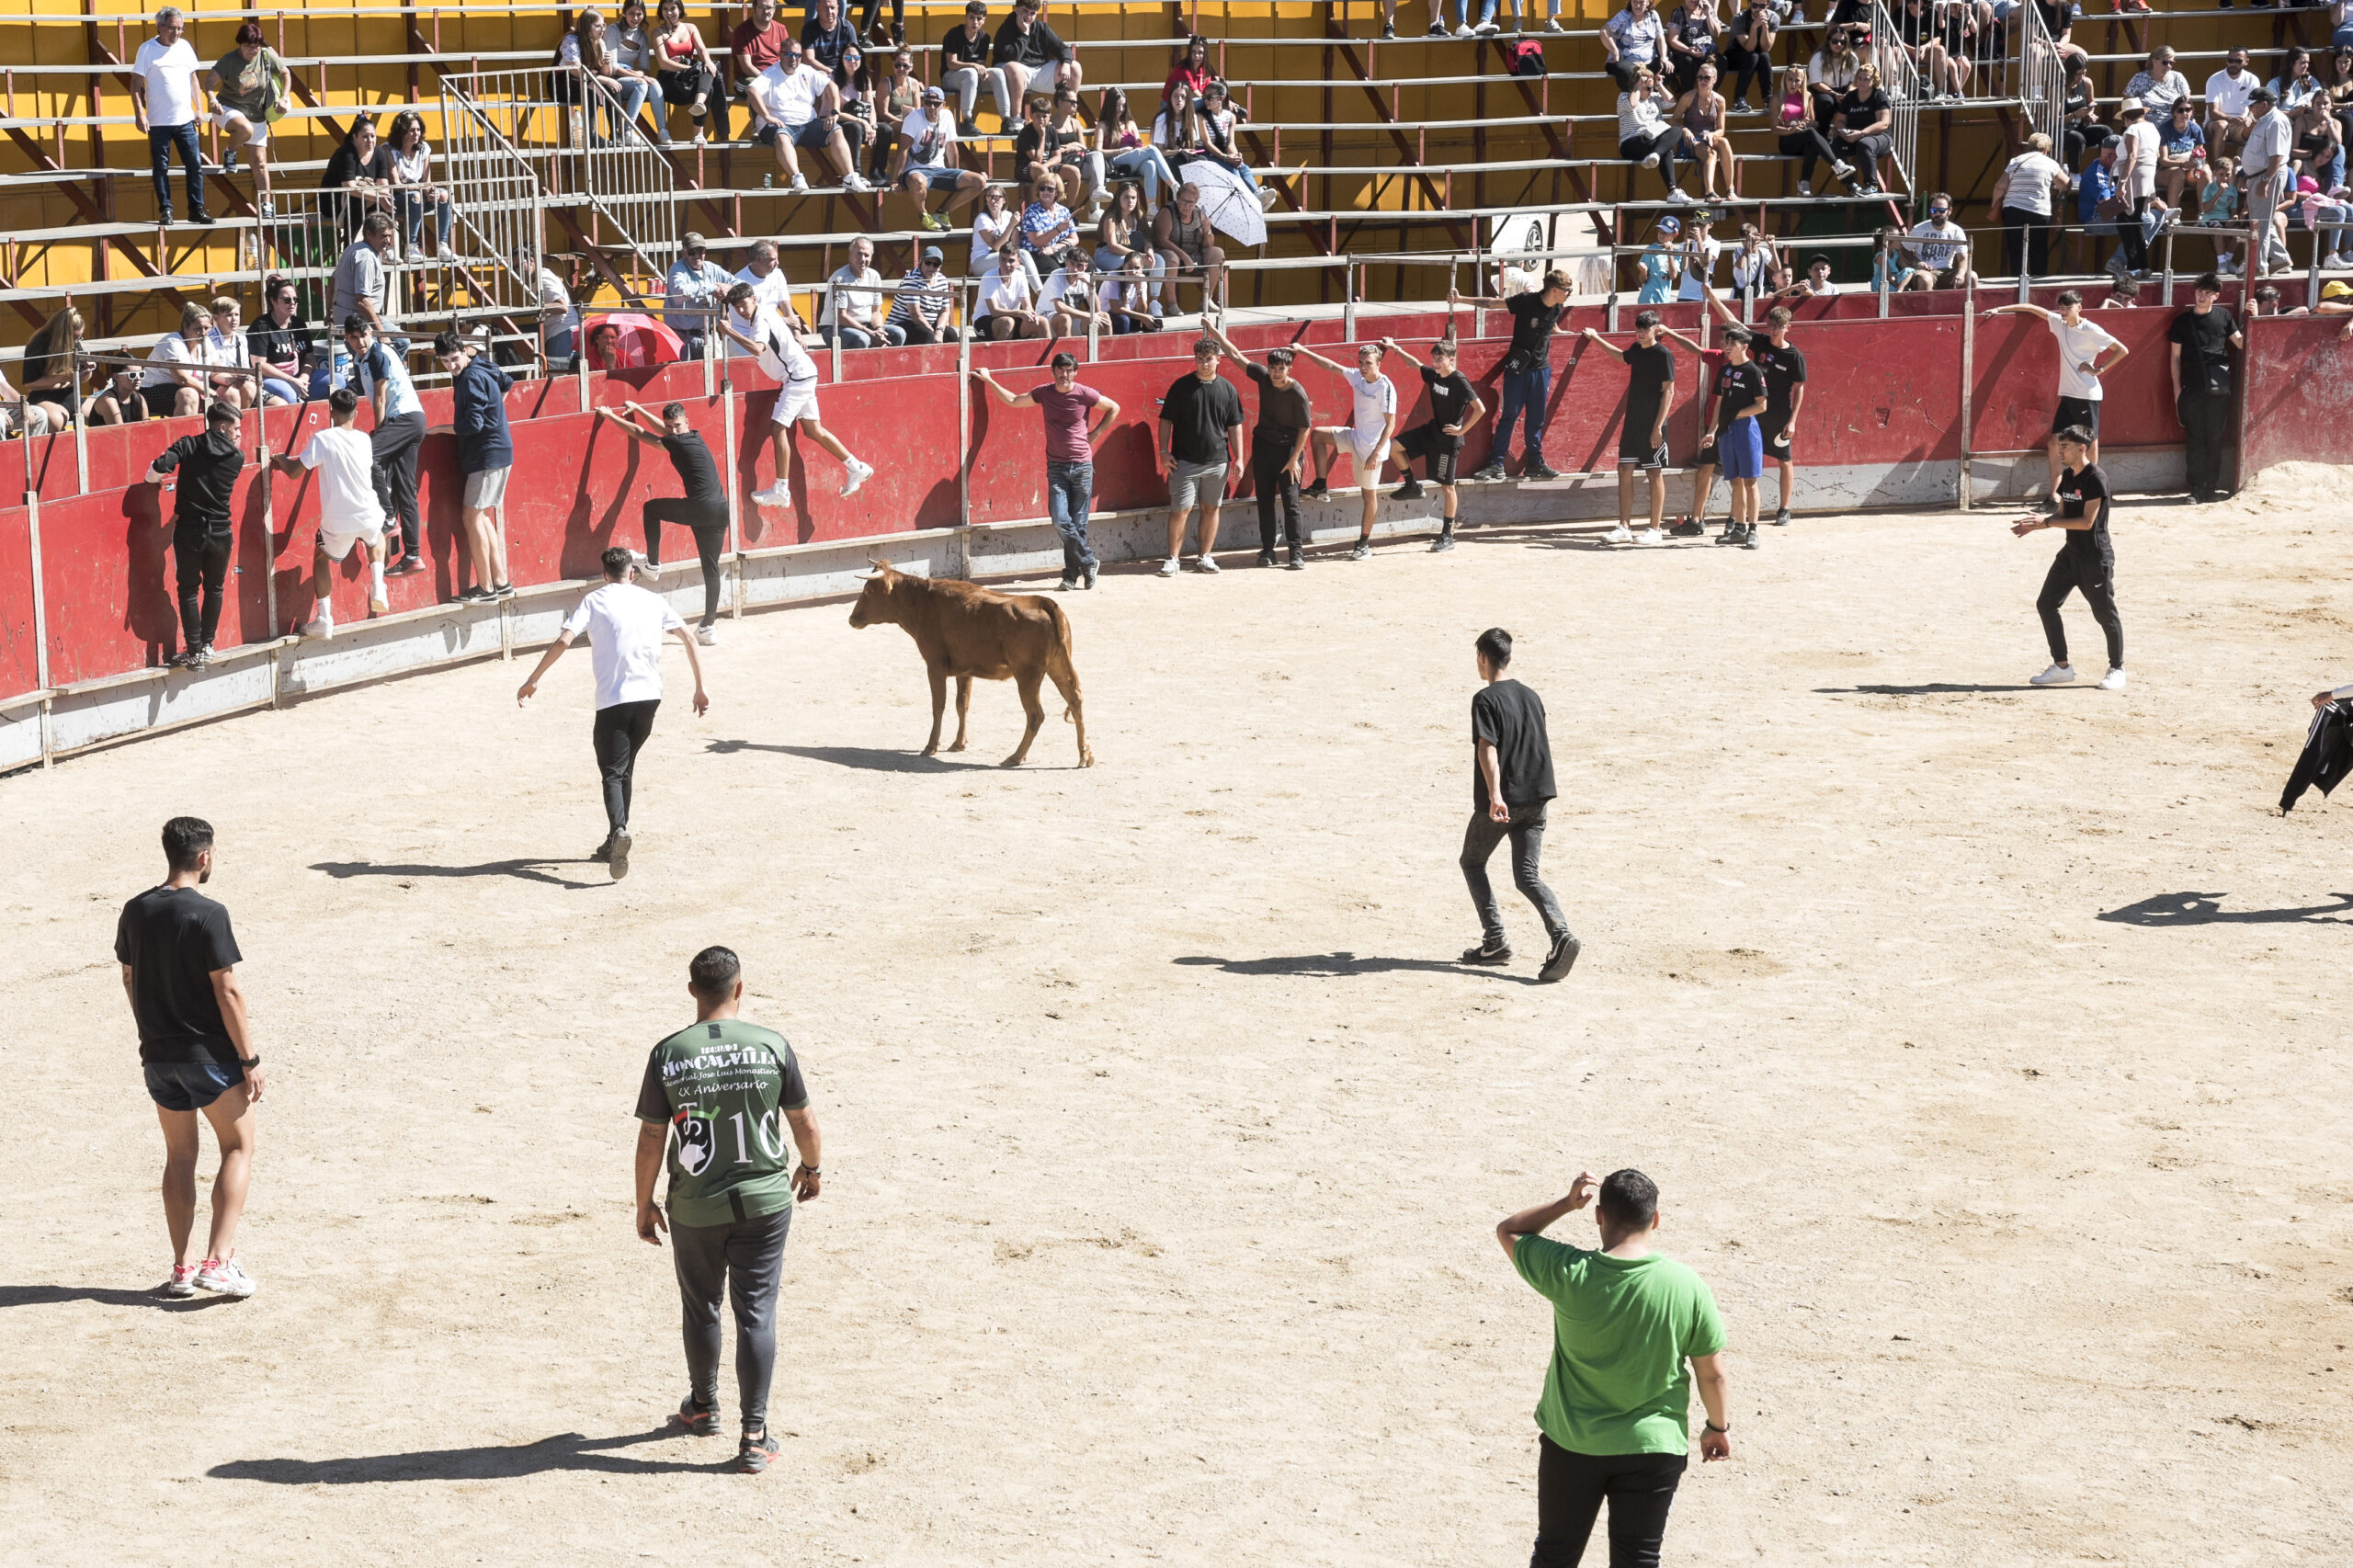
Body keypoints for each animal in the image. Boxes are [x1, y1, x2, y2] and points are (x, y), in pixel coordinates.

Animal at [851, 558, 1096, 767]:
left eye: (869, 591)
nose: (852, 619)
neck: (922, 603)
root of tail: (1046, 604)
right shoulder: (964, 671)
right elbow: (962, 704)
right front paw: (959, 743)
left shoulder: (934, 667)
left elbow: (939, 705)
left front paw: (931, 746)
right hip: (1057, 665)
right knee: (1076, 701)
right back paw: (1085, 755)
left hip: (1027, 675)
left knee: (1036, 715)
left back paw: (1016, 757)